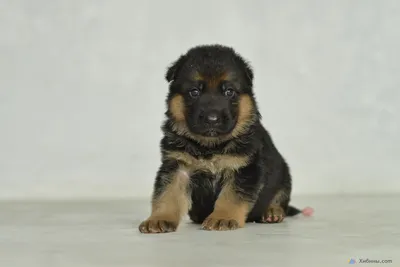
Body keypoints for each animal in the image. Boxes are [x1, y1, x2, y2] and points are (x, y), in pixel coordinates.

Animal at [139, 44, 304, 234]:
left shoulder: (244, 168)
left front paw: (222, 218)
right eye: (194, 92)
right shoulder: (177, 166)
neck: (210, 146)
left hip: (283, 175)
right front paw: (159, 219)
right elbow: (167, 194)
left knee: (280, 198)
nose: (212, 119)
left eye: (229, 92)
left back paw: (272, 211)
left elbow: (231, 196)